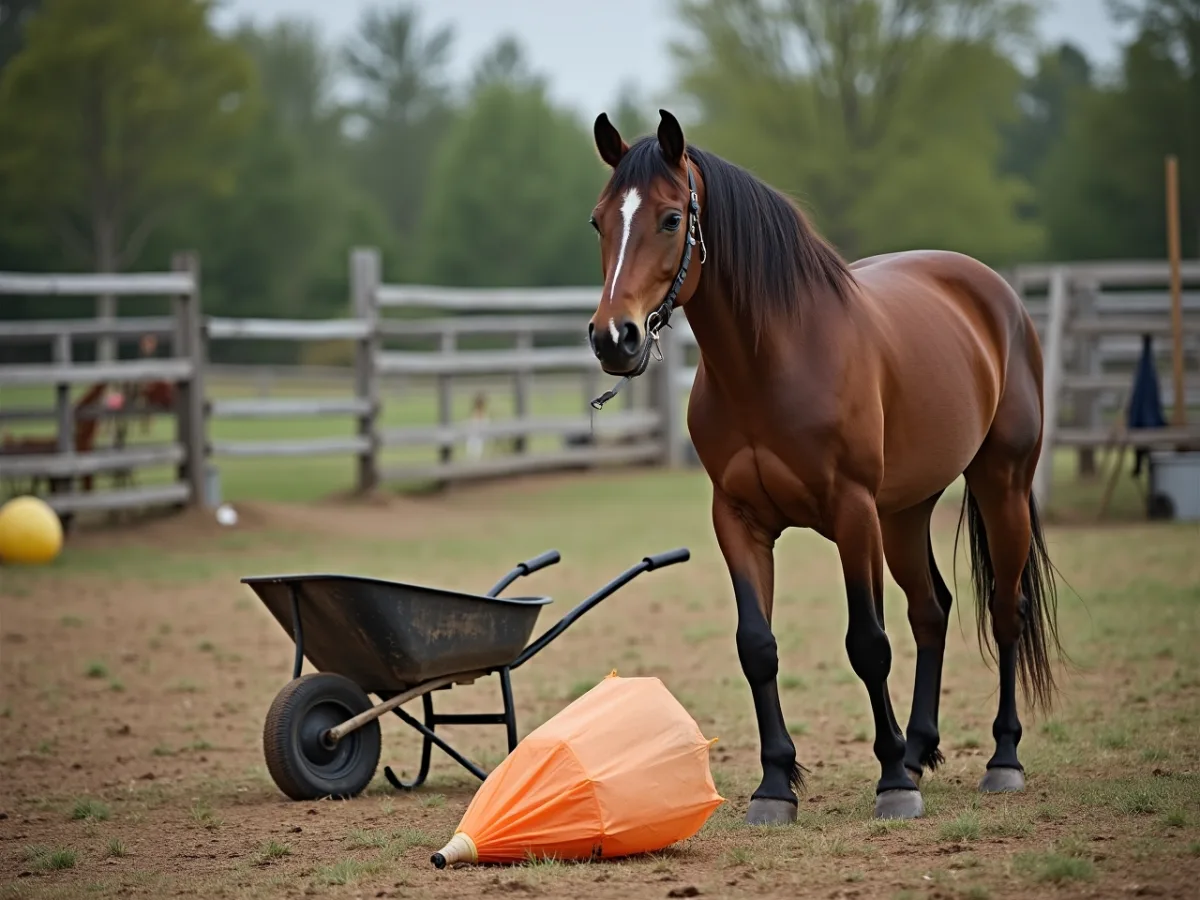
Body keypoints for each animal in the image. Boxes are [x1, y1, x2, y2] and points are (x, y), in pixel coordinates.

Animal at [584, 109, 1063, 824]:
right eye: (599, 221)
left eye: (670, 219)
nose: (615, 338)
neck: (773, 360)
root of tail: (997, 294)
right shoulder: (739, 520)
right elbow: (757, 647)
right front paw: (775, 786)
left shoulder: (852, 512)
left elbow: (867, 643)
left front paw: (891, 783)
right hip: (905, 512)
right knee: (932, 611)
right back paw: (919, 749)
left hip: (998, 485)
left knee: (1006, 610)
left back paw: (1000, 759)